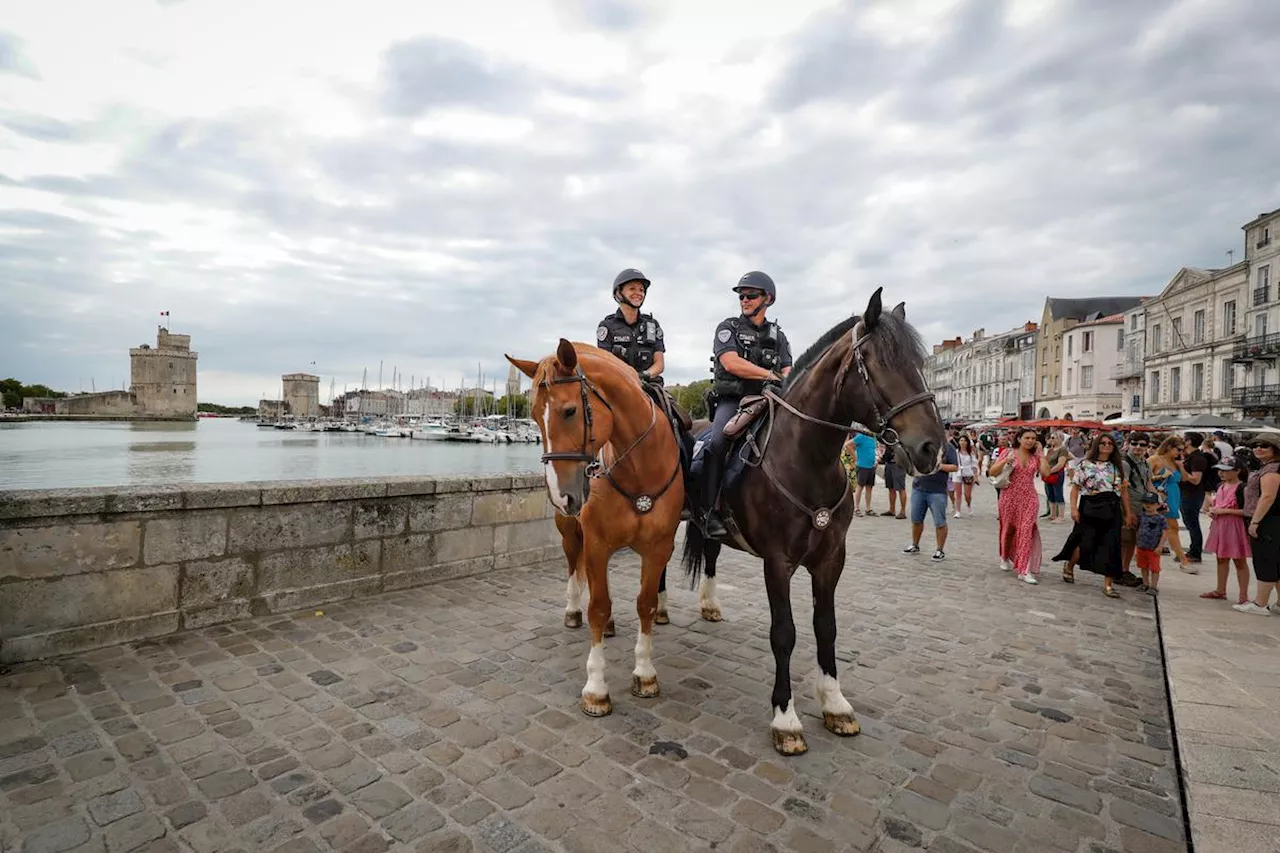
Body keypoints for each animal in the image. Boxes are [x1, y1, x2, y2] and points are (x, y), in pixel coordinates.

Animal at [504, 338, 686, 712]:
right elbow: (598, 608)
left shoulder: (658, 547)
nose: (560, 494)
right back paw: (573, 608)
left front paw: (644, 671)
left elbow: (645, 603)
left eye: (570, 411)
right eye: (533, 417)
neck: (639, 468)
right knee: (575, 568)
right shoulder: (597, 542)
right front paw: (596, 686)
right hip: (570, 531)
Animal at [686, 286, 947, 753]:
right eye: (880, 364)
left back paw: (710, 603)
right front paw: (785, 717)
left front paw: (835, 703)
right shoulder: (778, 563)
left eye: (919, 365)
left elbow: (826, 627)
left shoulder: (830, 558)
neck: (809, 458)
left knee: (711, 552)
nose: (931, 447)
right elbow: (784, 633)